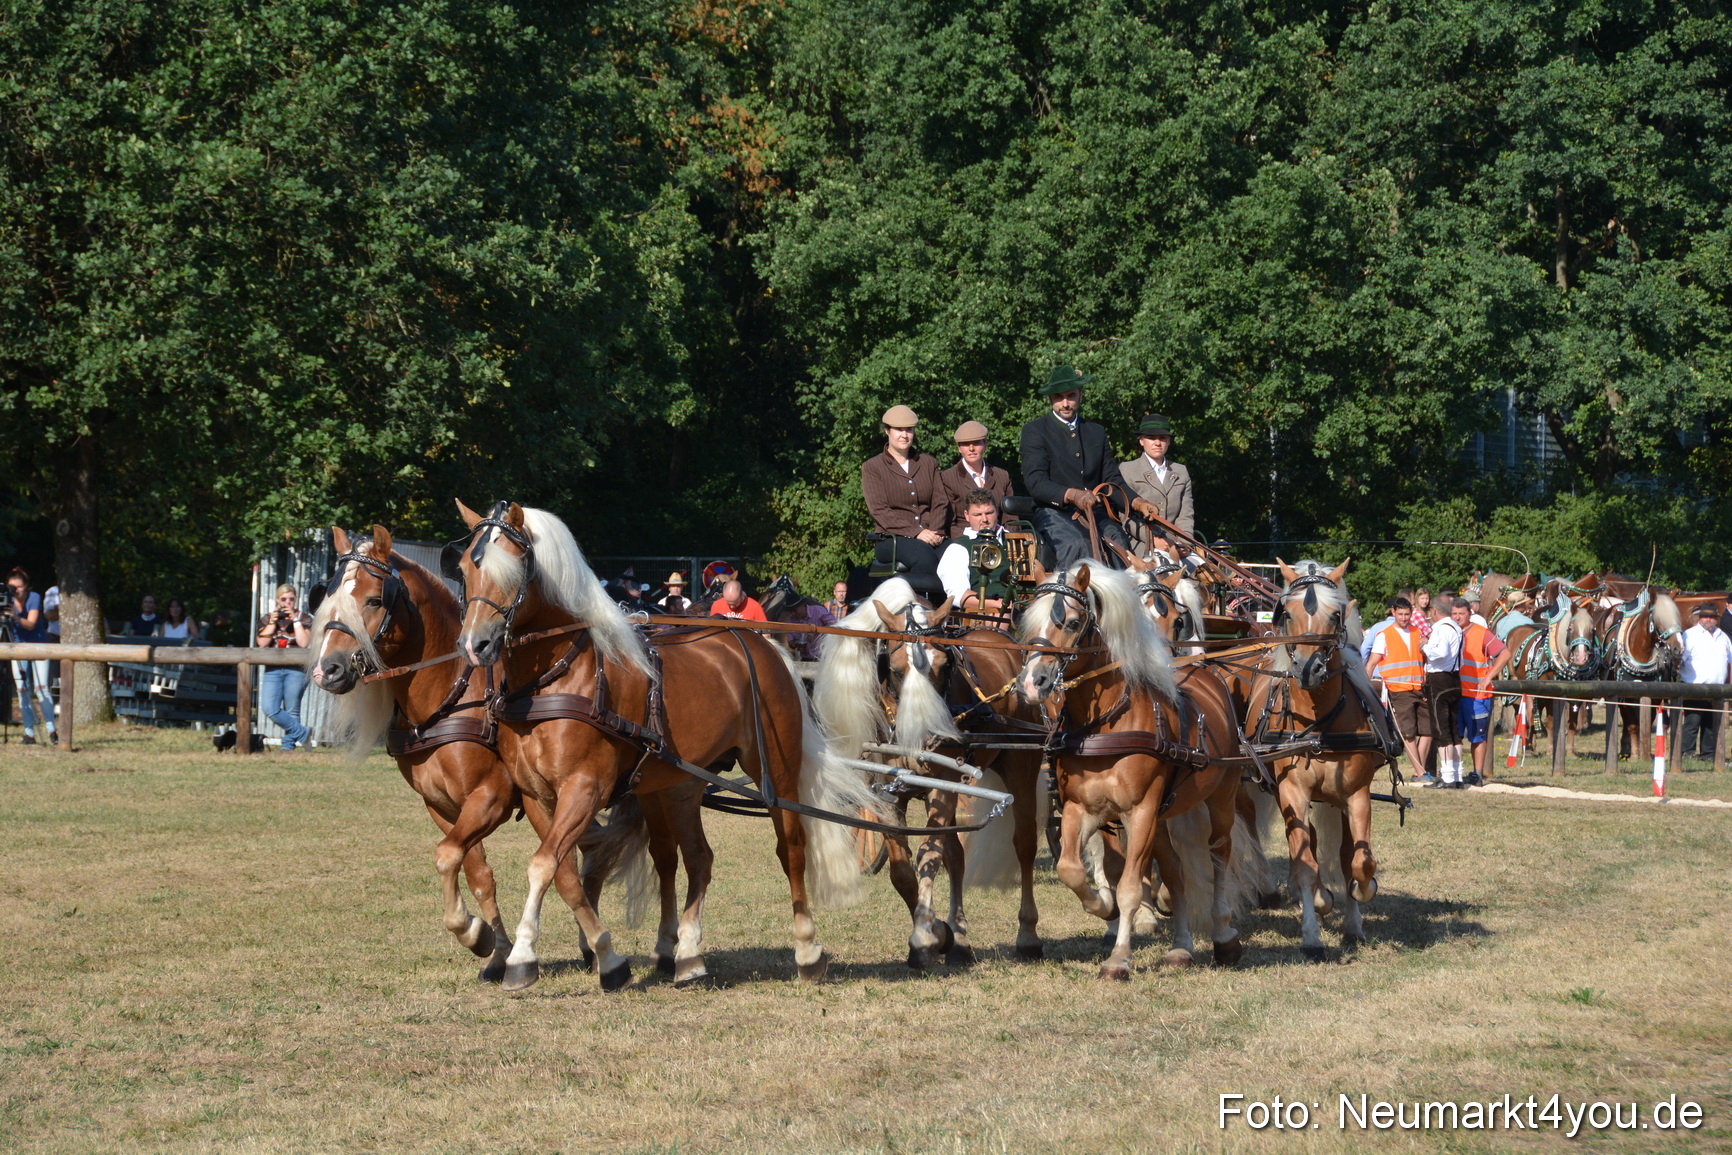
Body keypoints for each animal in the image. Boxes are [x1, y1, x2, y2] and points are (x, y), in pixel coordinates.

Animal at [308, 525, 655, 982]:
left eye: (373, 599)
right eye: (328, 599)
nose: (326, 670)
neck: (451, 692)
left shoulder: (489, 798)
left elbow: (447, 856)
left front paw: (475, 934)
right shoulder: (443, 806)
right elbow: (475, 872)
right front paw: (497, 949)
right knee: (591, 852)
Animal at [449, 500, 878, 991]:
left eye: (514, 568)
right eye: (465, 569)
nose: (474, 644)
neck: (554, 678)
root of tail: (762, 643)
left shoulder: (585, 788)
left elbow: (542, 866)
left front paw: (524, 957)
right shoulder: (538, 796)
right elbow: (562, 872)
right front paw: (600, 956)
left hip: (777, 771)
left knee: (790, 849)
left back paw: (806, 950)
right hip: (677, 784)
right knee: (691, 858)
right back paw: (685, 953)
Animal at [1014, 563, 1250, 980]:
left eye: (1072, 622)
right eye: (1028, 622)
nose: (1031, 683)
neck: (1107, 723)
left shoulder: (1139, 812)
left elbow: (1129, 888)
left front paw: (1119, 958)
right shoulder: (1082, 809)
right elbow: (1071, 868)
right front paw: (1102, 908)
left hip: (1219, 798)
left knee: (1219, 853)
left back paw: (1224, 937)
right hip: (1162, 816)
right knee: (1174, 870)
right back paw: (1181, 947)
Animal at [1244, 559, 1405, 960]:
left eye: (1335, 614)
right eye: (1287, 613)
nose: (1309, 669)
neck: (1318, 722)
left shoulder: (1356, 795)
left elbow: (1358, 861)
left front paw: (1359, 903)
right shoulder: (1291, 793)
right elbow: (1306, 866)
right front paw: (1313, 928)